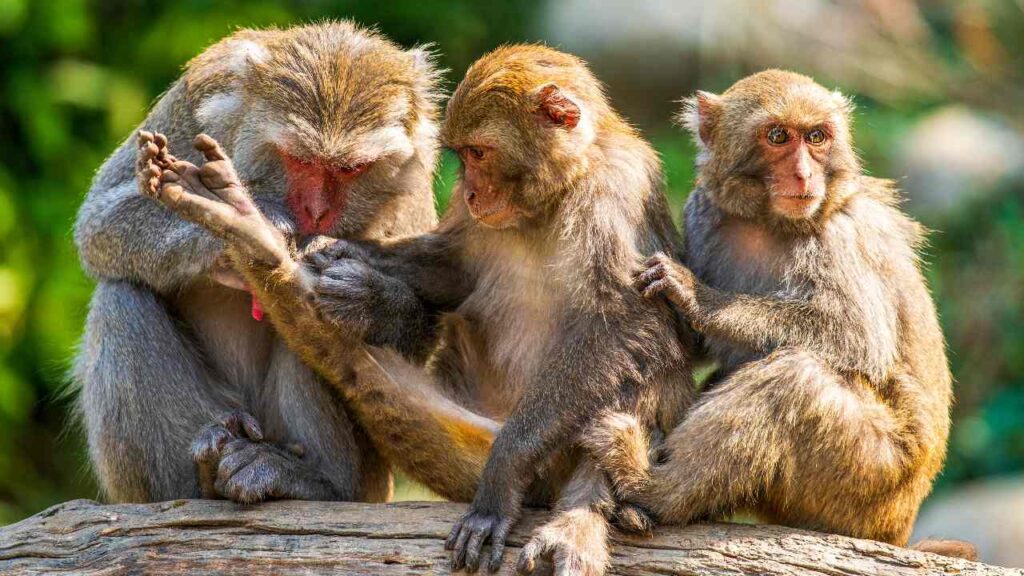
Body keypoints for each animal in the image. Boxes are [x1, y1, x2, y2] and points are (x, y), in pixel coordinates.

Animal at [71, 21, 443, 505]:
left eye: (349, 169)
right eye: (299, 160)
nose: (315, 212)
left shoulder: (416, 174)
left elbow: (422, 357)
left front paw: (370, 300)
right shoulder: (192, 105)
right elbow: (99, 225)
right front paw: (251, 221)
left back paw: (316, 481)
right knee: (121, 297)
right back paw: (199, 481)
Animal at [134, 45, 695, 575]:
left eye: (479, 152)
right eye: (464, 157)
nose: (473, 190)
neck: (556, 195)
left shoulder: (617, 191)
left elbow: (632, 322)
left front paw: (503, 473)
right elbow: (454, 270)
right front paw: (354, 277)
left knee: (643, 361)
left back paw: (575, 519)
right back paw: (251, 233)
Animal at [580, 69, 976, 561]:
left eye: (816, 137)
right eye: (777, 136)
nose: (804, 173)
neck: (769, 223)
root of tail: (897, 528)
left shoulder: (837, 236)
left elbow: (856, 337)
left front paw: (696, 297)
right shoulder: (701, 212)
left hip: (872, 478)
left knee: (794, 379)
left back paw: (651, 488)